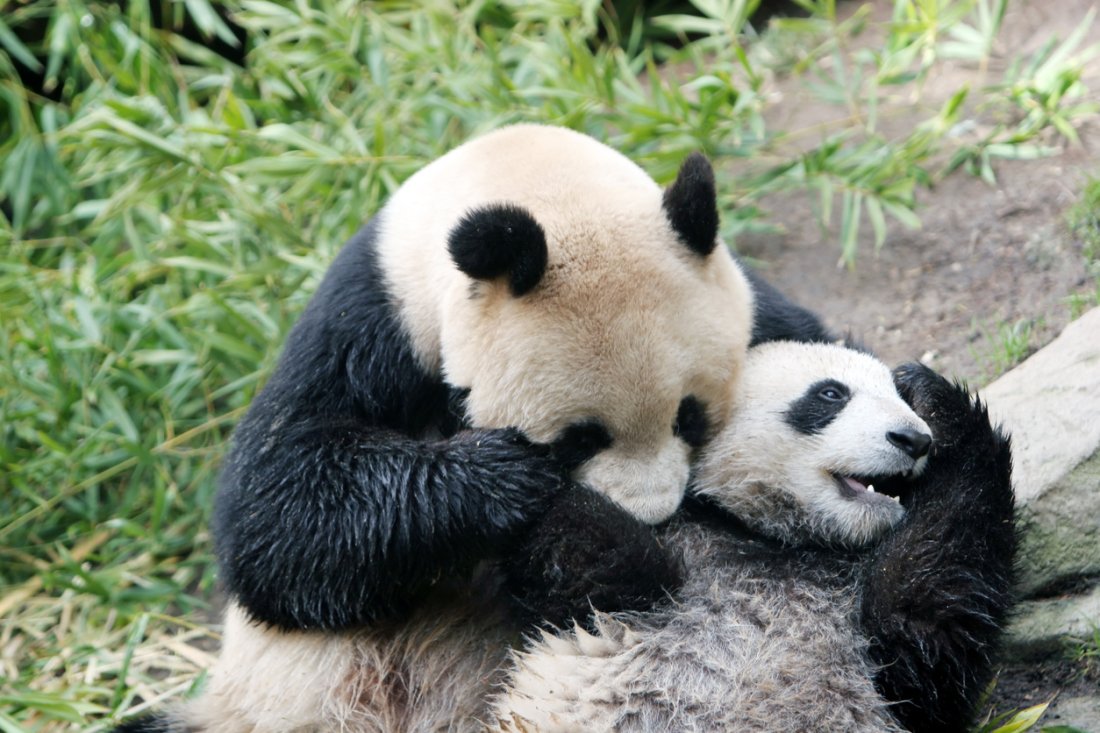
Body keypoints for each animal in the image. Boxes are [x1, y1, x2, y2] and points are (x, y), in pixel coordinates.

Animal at [115, 124, 761, 731]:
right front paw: (505, 480)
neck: (526, 175)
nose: (653, 515)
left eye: (689, 416)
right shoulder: (370, 318)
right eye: (580, 438)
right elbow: (274, 506)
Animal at [495, 341, 1017, 733]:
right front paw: (510, 472)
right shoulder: (685, 548)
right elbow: (594, 563)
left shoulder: (881, 654)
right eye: (831, 394)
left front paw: (934, 396)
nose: (913, 439)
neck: (780, 541)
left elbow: (928, 618)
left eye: (898, 400)